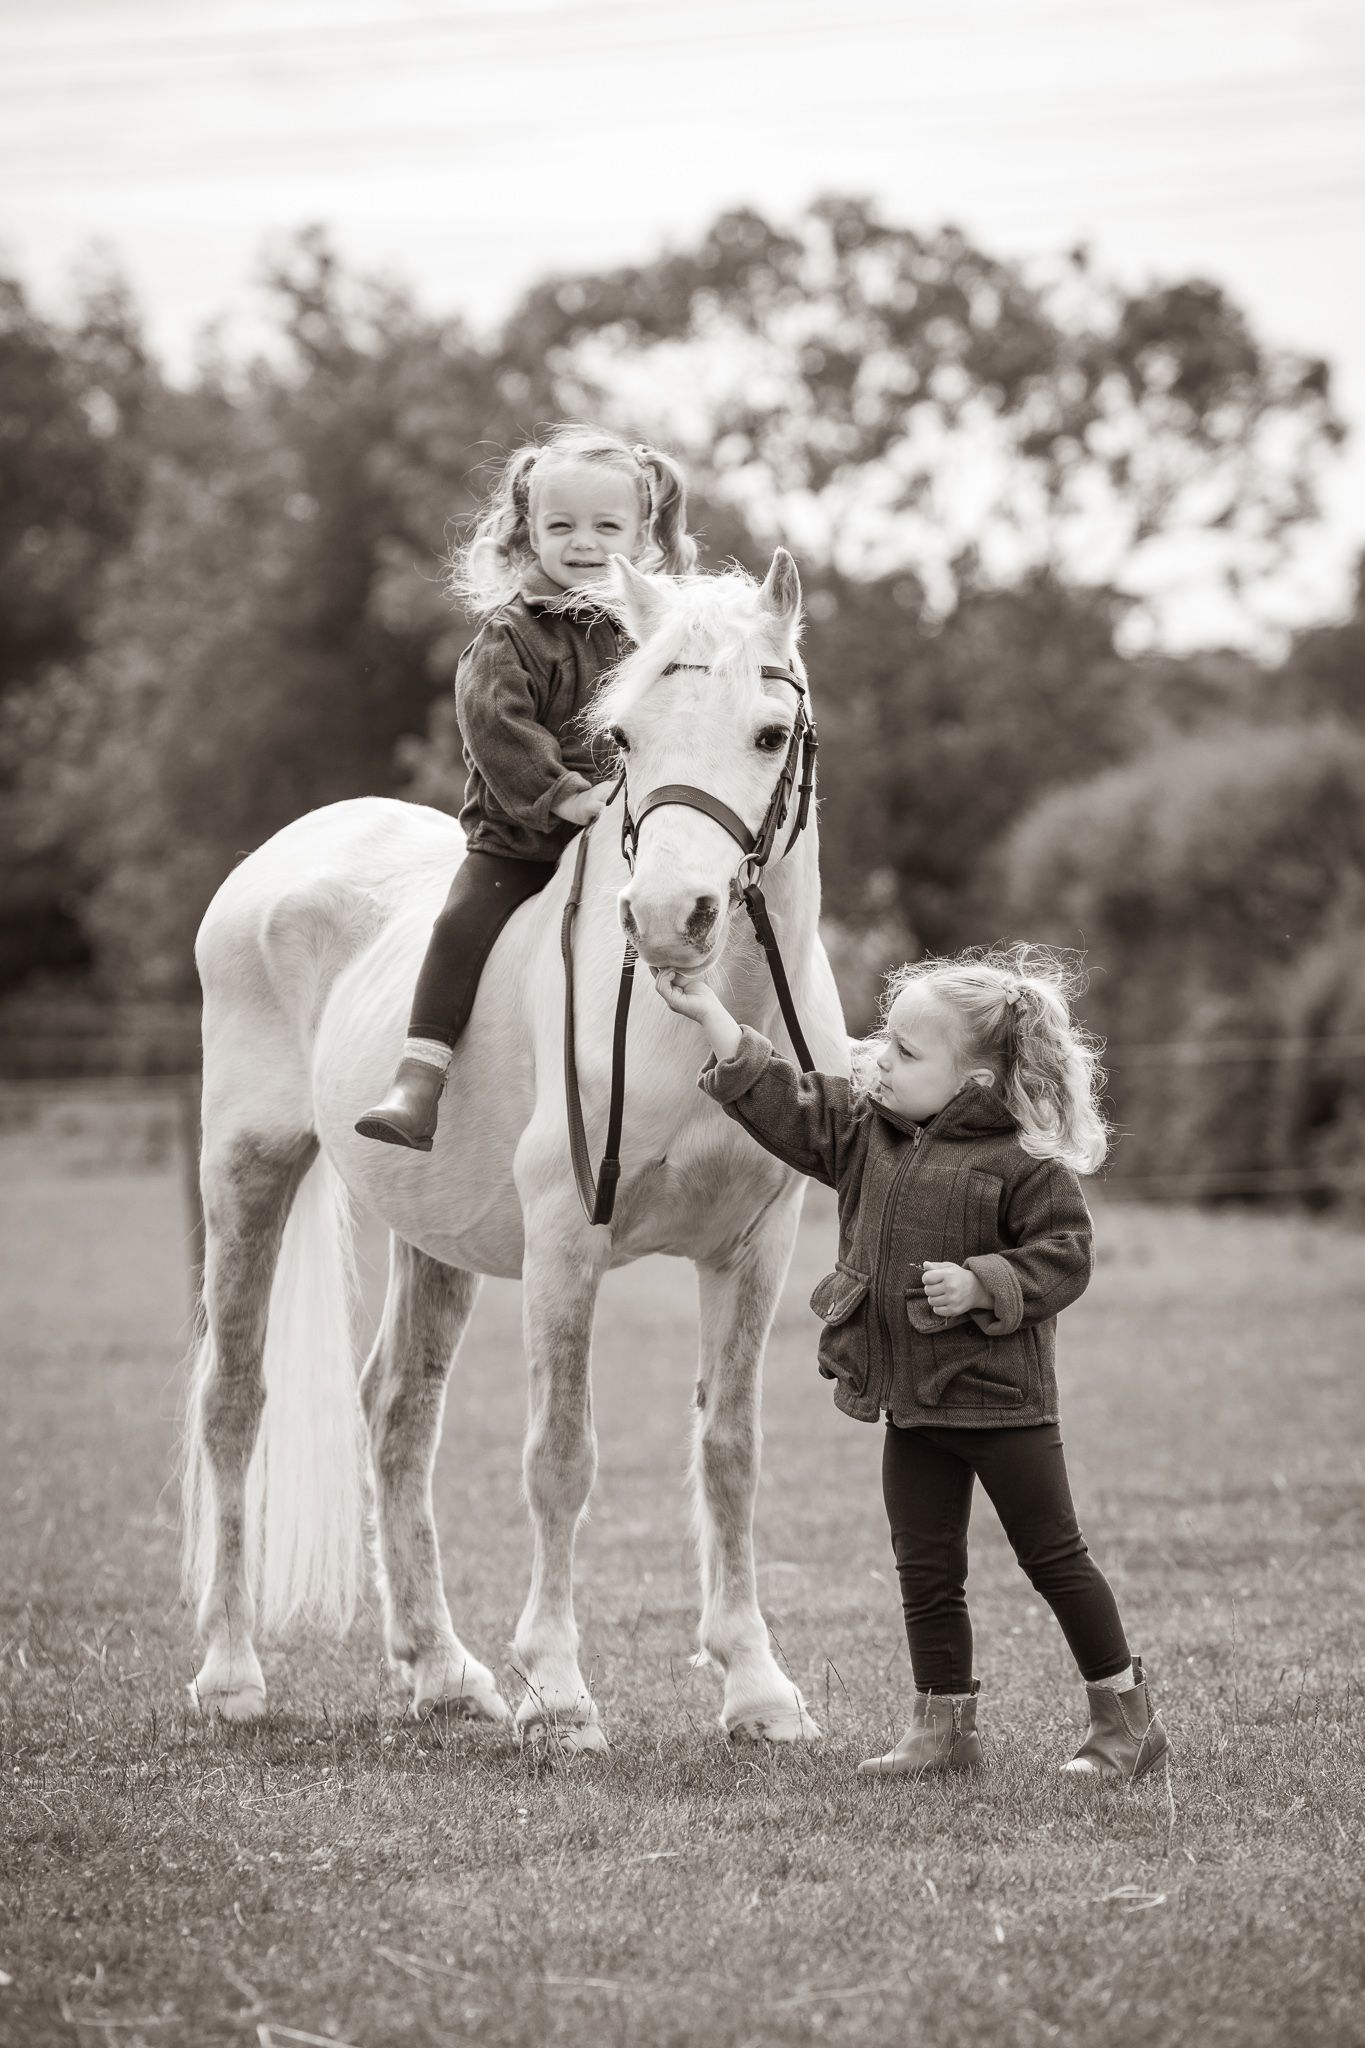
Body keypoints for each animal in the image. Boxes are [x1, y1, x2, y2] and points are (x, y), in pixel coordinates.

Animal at [181, 548, 849, 1747]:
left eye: (770, 732)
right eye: (624, 739)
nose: (666, 917)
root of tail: (283, 855)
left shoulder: (755, 1251)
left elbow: (730, 1450)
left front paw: (756, 1685)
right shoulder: (566, 1246)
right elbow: (560, 1454)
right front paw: (561, 1689)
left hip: (430, 1233)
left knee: (398, 1415)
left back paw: (443, 1671)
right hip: (245, 1170)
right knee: (234, 1400)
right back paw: (231, 1674)